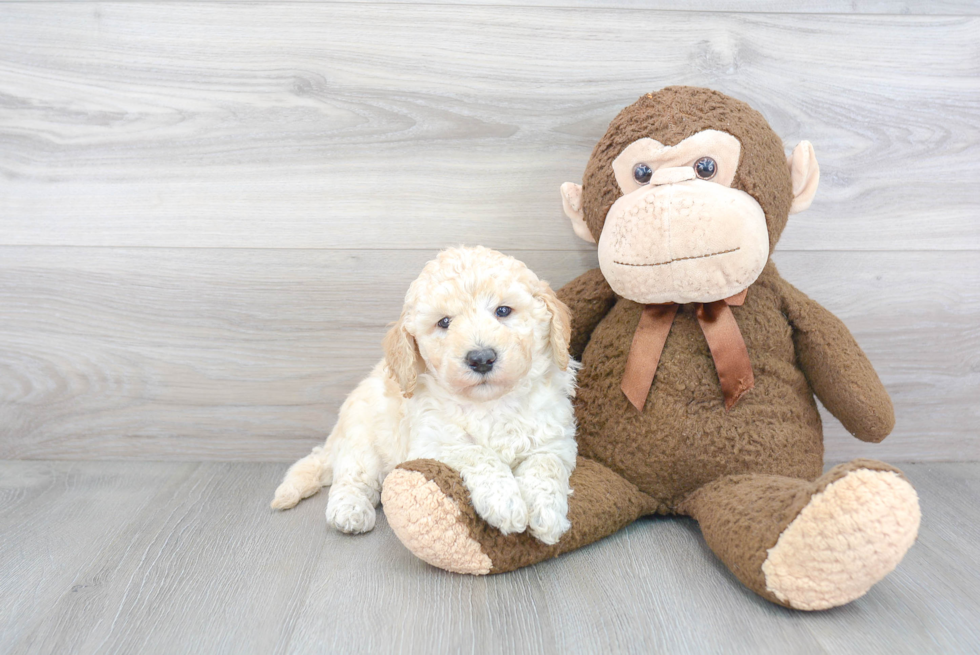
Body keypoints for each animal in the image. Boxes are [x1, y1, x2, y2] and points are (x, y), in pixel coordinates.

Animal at [270, 246, 576, 544]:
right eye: (444, 322)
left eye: (503, 310)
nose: (481, 359)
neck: (491, 403)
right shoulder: (432, 443)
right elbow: (476, 453)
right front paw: (505, 503)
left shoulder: (556, 440)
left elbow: (546, 465)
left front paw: (547, 515)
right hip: (363, 443)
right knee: (350, 480)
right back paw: (350, 511)